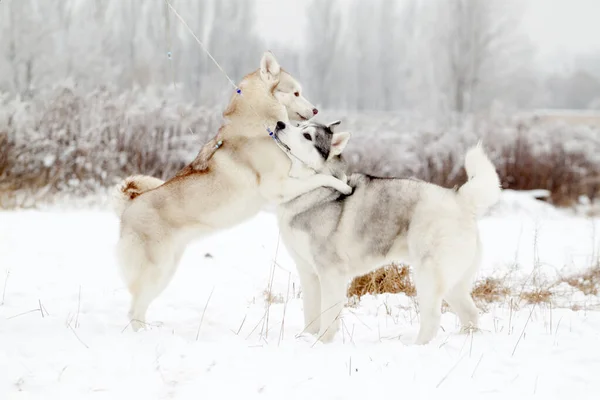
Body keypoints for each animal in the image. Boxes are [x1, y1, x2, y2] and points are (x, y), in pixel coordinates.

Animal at [111, 51, 352, 330]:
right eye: (295, 93)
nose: (315, 110)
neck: (262, 126)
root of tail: (129, 204)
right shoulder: (278, 185)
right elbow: (318, 178)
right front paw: (341, 184)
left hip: (167, 269)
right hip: (157, 270)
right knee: (135, 309)